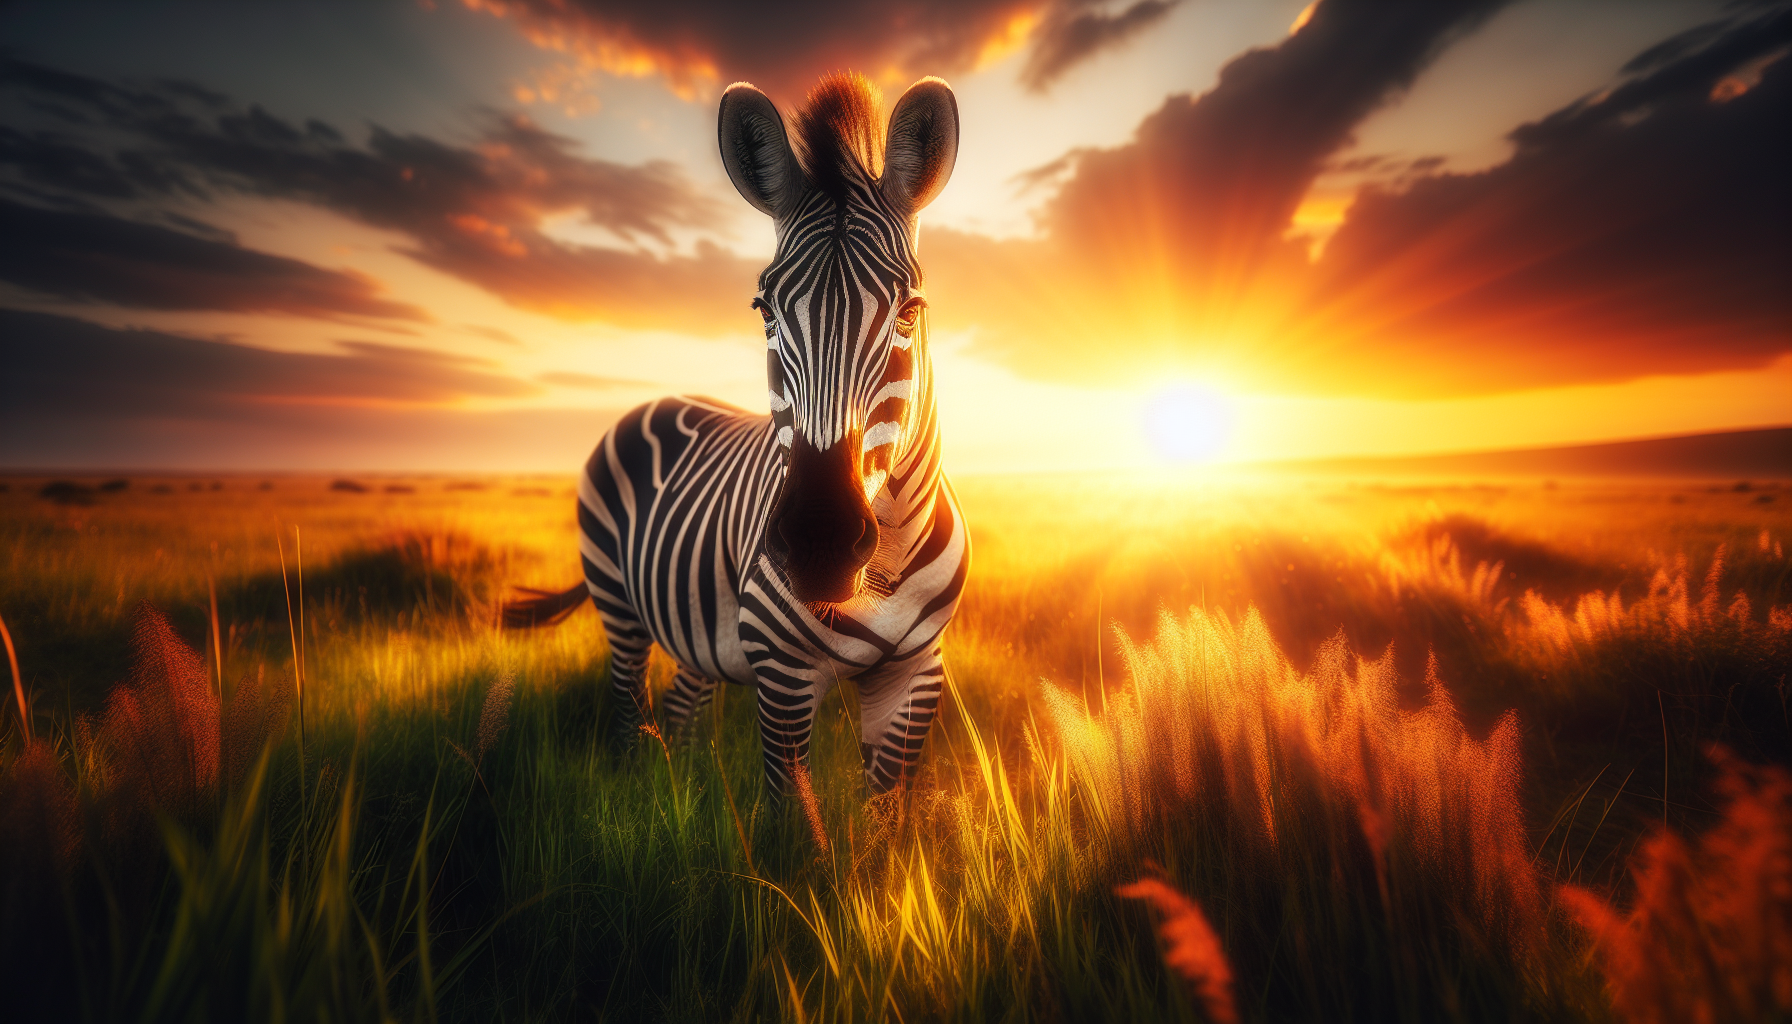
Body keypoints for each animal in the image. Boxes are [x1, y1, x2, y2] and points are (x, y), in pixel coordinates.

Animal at [504, 72, 969, 795]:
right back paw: (644, 795)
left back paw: (685, 791)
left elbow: (887, 817)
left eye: (909, 310)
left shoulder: (916, 675)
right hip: (618, 603)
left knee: (680, 711)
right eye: (765, 309)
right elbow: (791, 816)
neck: (887, 561)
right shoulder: (782, 677)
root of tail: (659, 399)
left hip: (700, 633)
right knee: (629, 717)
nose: (818, 543)